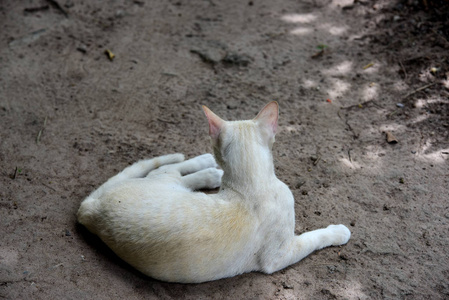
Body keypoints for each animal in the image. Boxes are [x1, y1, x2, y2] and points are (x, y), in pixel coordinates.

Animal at [78, 102, 350, 282]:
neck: (250, 182)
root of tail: (92, 210)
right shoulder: (278, 257)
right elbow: (313, 238)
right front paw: (339, 232)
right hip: (165, 182)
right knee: (170, 169)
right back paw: (209, 169)